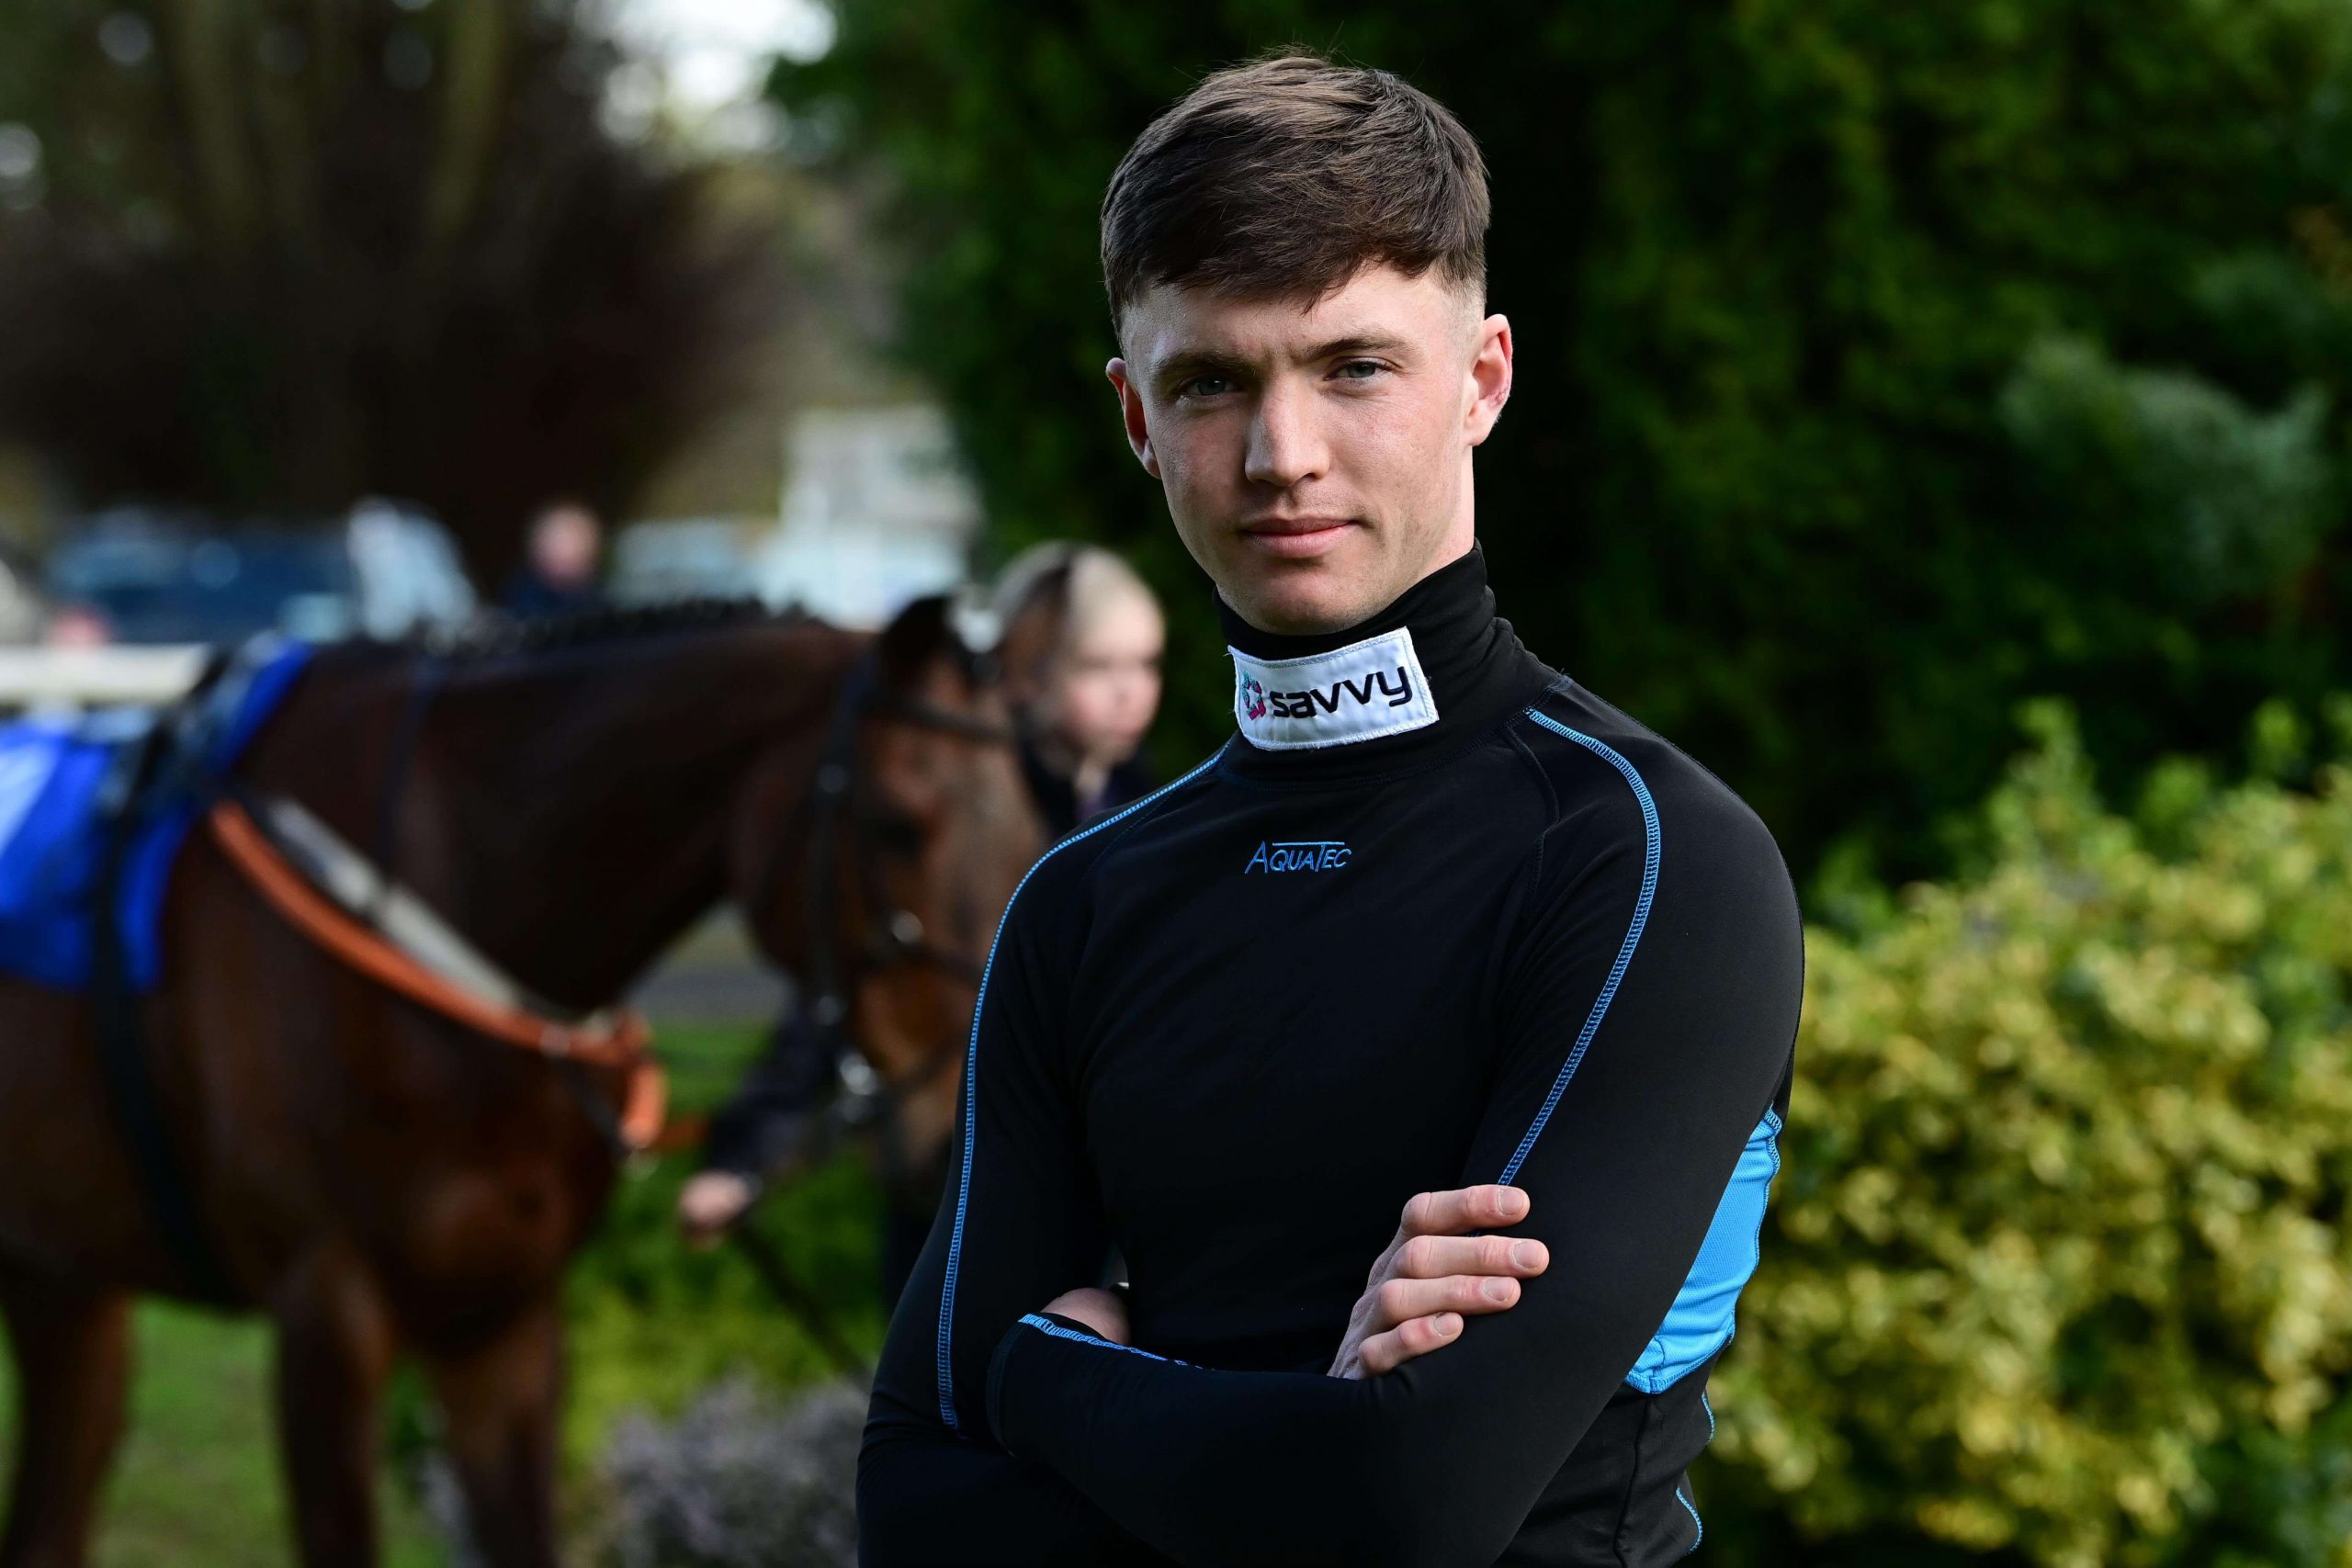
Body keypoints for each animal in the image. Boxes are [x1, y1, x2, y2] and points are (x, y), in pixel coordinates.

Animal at [0, 594, 1039, 1561]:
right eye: (898, 824)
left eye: (1035, 827)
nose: (959, 1137)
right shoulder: (324, 1311)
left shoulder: (504, 1321)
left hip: (64, 1281)